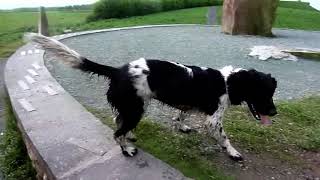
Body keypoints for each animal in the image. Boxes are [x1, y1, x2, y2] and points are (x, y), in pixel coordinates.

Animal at [26, 33, 278, 160]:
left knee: (119, 122)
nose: (275, 113)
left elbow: (181, 115)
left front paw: (182, 126)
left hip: (134, 106)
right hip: (136, 108)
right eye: (262, 93)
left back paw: (131, 136)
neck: (226, 81)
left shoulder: (188, 105)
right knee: (117, 132)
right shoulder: (213, 120)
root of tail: (118, 70)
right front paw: (233, 152)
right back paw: (127, 150)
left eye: (272, 92)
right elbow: (225, 138)